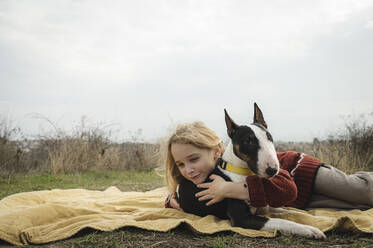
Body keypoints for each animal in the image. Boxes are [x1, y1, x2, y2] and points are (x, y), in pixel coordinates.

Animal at [176, 102, 324, 238]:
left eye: (269, 137)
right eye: (248, 141)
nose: (273, 170)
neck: (242, 172)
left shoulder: (266, 207)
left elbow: (292, 212)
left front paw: (318, 219)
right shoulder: (242, 219)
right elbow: (281, 221)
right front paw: (309, 229)